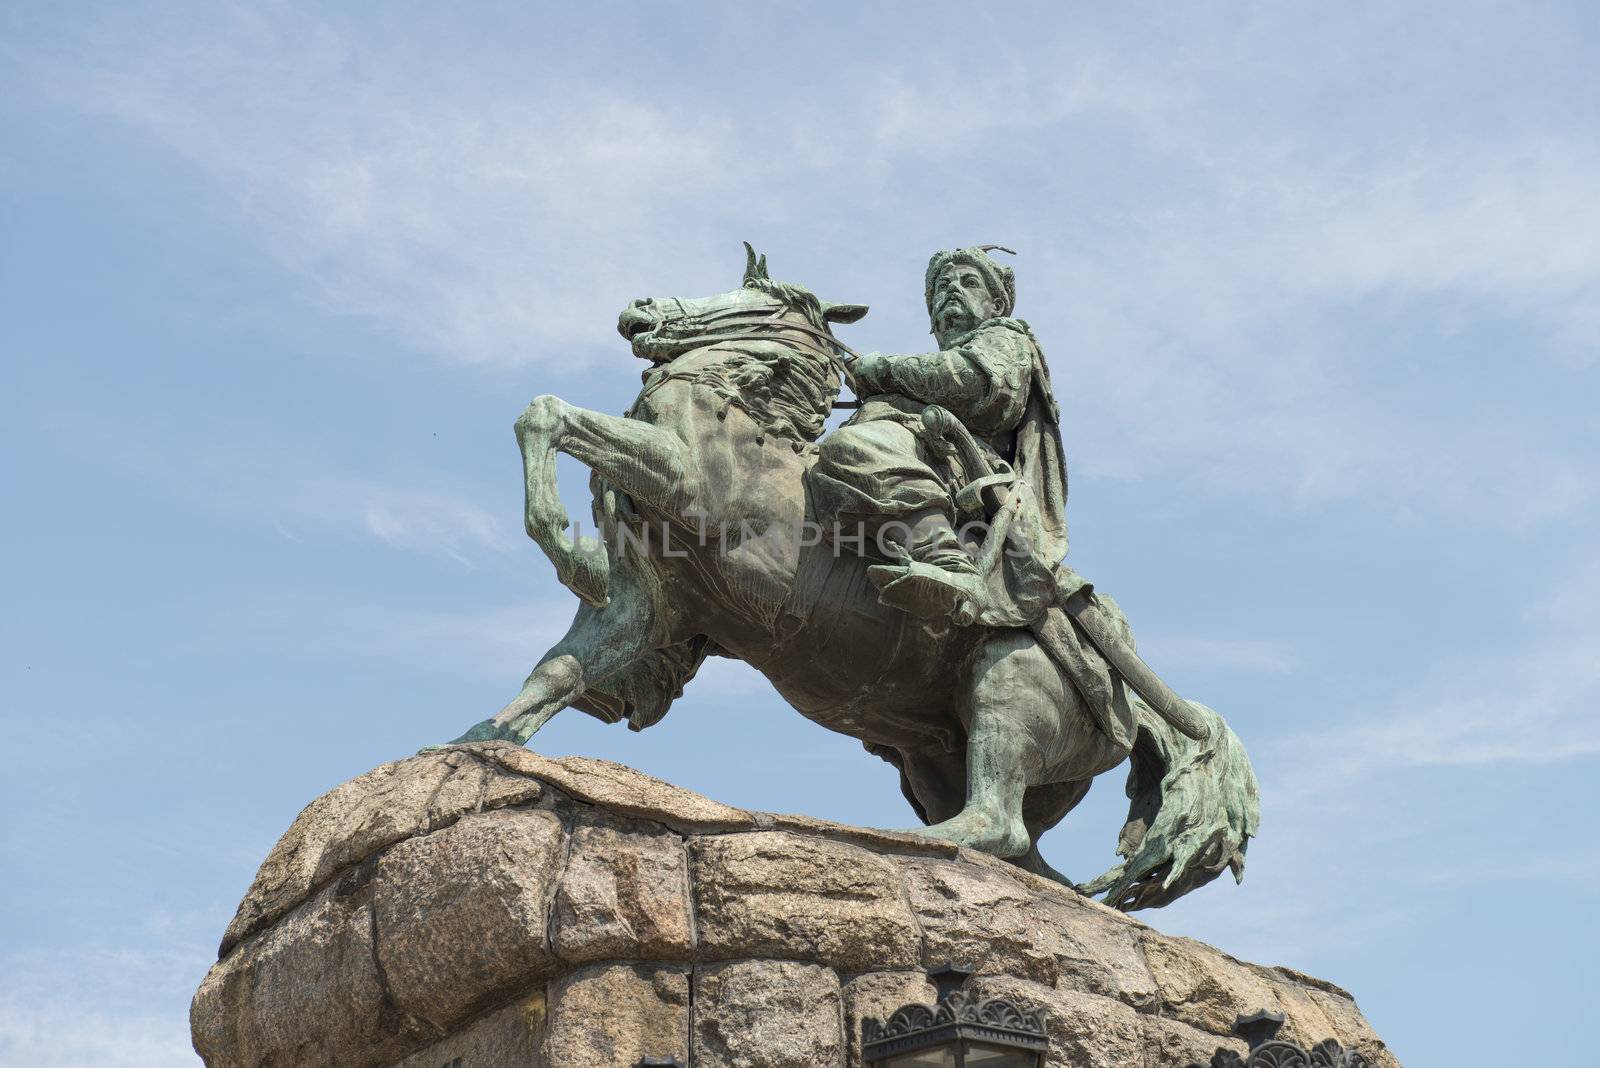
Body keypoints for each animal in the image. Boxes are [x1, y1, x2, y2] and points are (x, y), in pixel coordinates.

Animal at [432, 244, 1254, 908]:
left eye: (755, 296)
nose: (641, 311)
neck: (737, 417)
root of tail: (1134, 704)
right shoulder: (648, 606)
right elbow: (559, 668)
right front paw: (479, 741)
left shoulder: (679, 479)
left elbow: (549, 413)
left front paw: (559, 540)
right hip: (930, 762)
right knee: (1028, 854)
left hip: (1008, 681)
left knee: (997, 823)